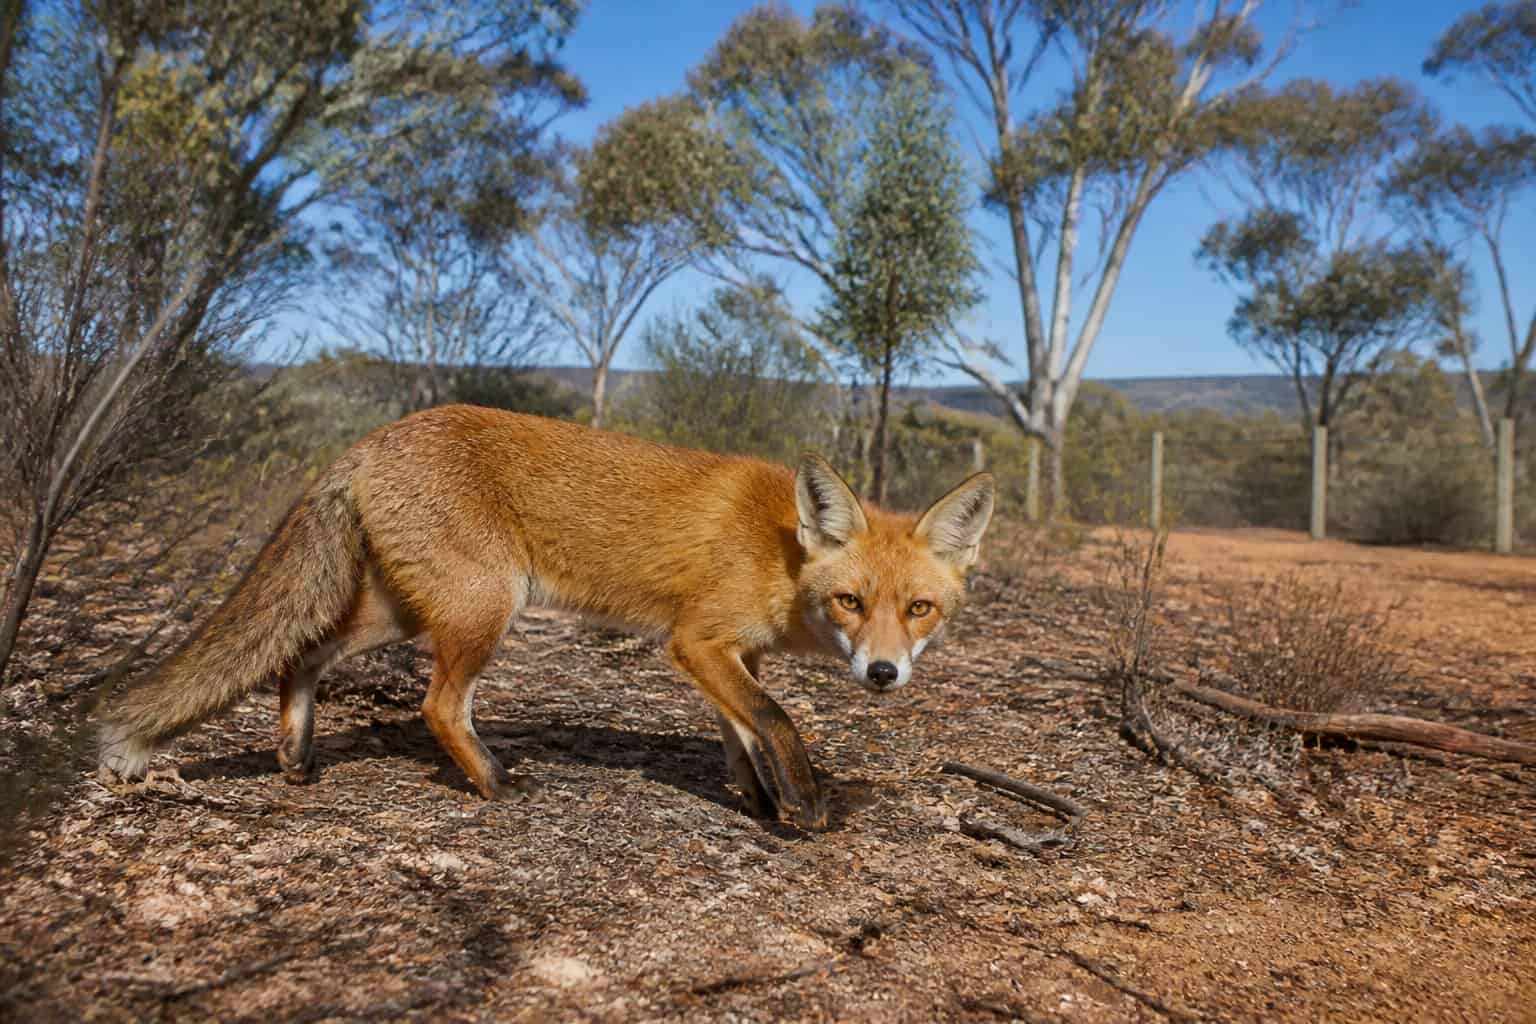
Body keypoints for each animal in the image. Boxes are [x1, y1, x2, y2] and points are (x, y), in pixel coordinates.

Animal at [97, 406, 995, 830]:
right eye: (852, 602)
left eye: (918, 609)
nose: (883, 673)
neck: (780, 550)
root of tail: (371, 440)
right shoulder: (693, 642)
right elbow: (776, 722)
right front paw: (803, 808)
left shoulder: (736, 656)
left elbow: (741, 735)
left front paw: (760, 803)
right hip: (486, 608)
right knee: (435, 706)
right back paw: (495, 783)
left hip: (405, 611)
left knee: (300, 657)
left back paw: (296, 755)